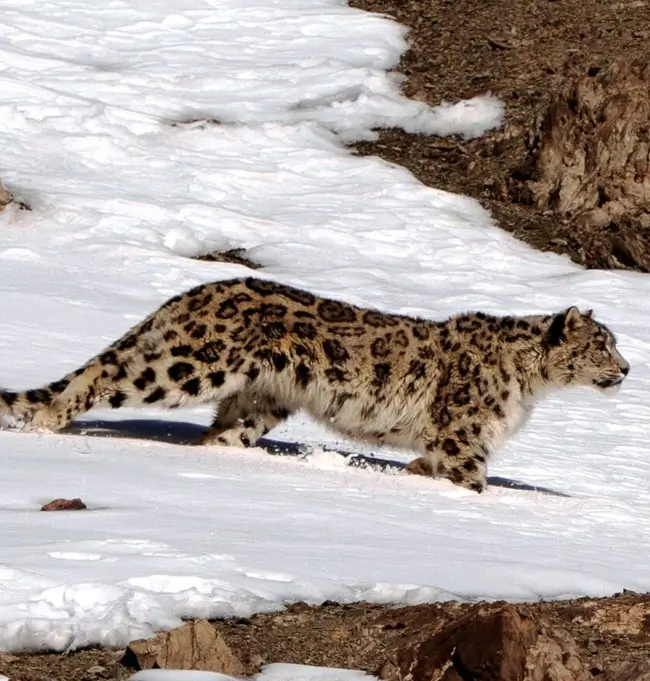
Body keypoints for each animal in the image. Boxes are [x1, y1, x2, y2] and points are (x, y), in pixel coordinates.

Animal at [0, 276, 630, 493]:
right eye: (602, 343)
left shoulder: (441, 447)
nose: (626, 369)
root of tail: (197, 290)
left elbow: (422, 470)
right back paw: (49, 422)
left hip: (263, 399)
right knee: (104, 372)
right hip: (190, 365)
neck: (531, 388)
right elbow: (473, 483)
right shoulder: (463, 440)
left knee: (220, 434)